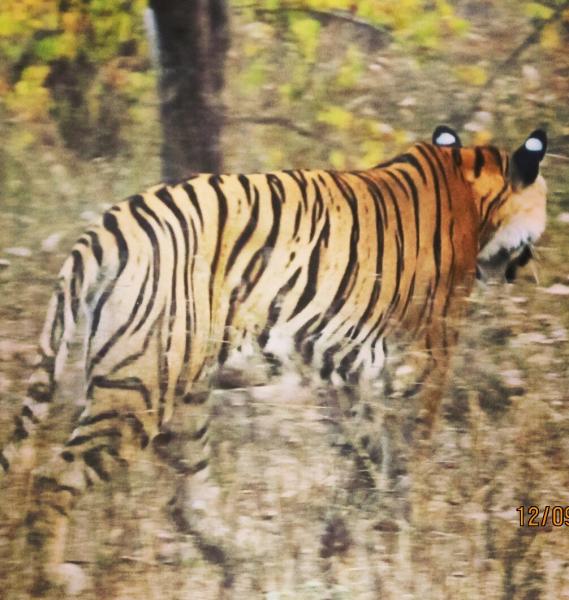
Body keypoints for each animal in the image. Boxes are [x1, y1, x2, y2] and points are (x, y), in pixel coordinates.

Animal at [0, 124, 544, 592]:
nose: (532, 263)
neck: (468, 184)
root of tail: (103, 233)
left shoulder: (353, 373)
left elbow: (367, 450)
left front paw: (344, 531)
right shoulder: (424, 357)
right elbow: (406, 452)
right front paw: (398, 531)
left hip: (183, 392)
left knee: (187, 497)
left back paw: (243, 558)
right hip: (139, 388)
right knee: (55, 479)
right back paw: (53, 578)